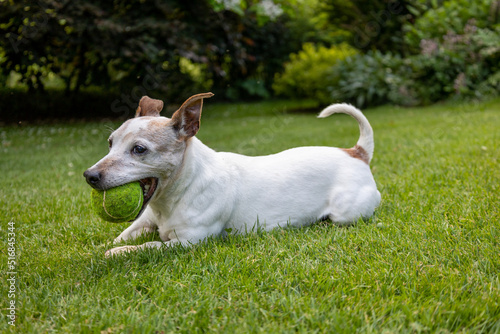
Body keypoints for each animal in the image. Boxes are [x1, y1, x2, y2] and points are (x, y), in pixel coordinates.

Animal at [83, 92, 378, 258]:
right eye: (110, 143)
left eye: (139, 149)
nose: (89, 175)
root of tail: (356, 152)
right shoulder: (145, 223)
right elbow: (123, 235)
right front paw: (103, 247)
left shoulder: (188, 243)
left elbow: (149, 246)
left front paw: (117, 253)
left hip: (346, 213)